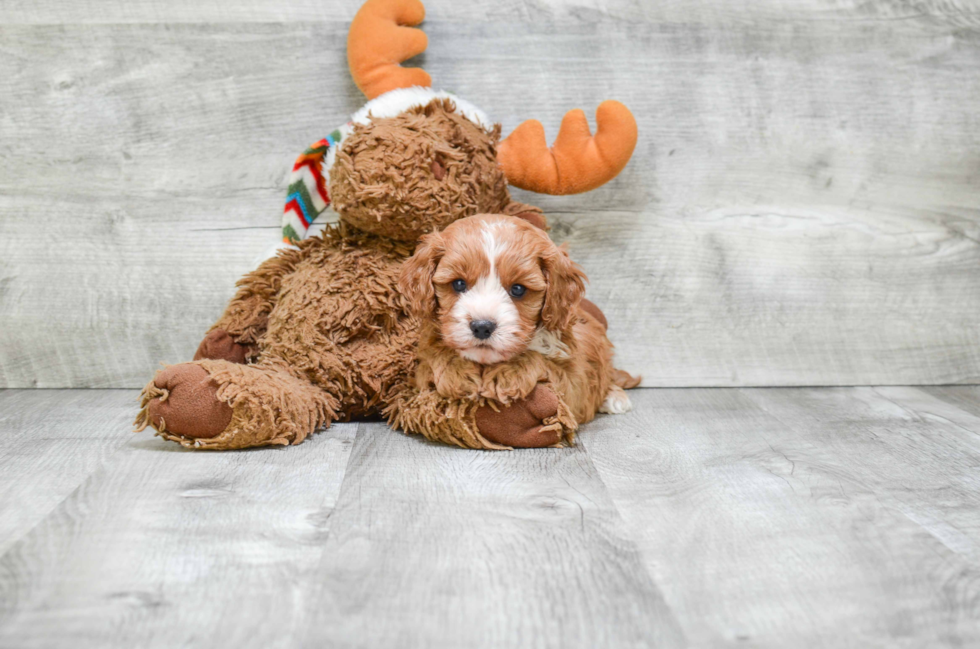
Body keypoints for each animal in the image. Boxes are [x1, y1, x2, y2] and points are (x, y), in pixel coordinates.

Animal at [400, 213, 644, 446]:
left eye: (518, 289)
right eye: (458, 284)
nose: (482, 327)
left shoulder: (575, 381)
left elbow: (543, 361)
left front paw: (509, 372)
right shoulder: (419, 375)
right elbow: (435, 357)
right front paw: (457, 371)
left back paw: (615, 397)